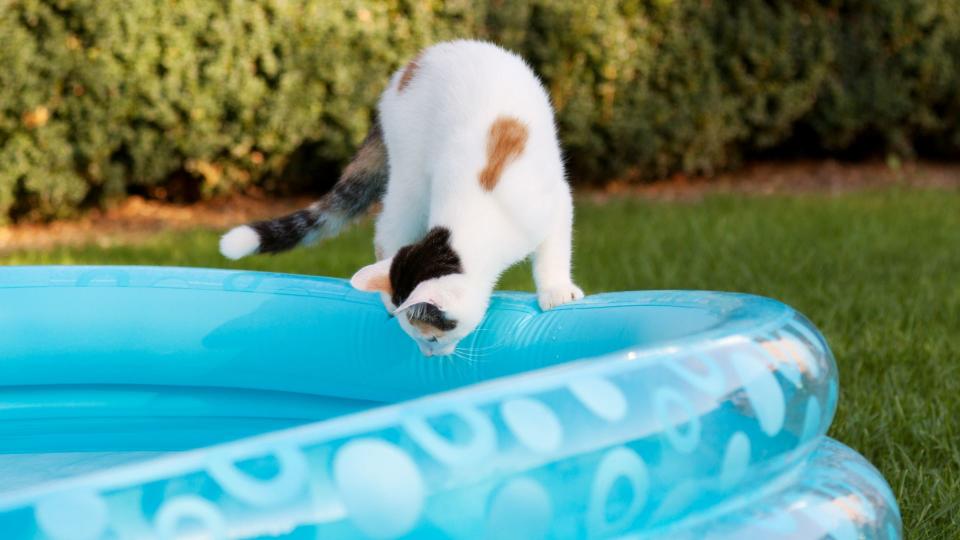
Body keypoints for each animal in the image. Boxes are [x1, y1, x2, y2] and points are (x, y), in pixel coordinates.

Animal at [223, 40, 584, 356]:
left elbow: (554, 248)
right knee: (387, 233)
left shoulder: (554, 201)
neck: (474, 222)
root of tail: (415, 62)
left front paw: (556, 290)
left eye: (434, 337)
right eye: (423, 339)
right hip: (410, 175)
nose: (429, 355)